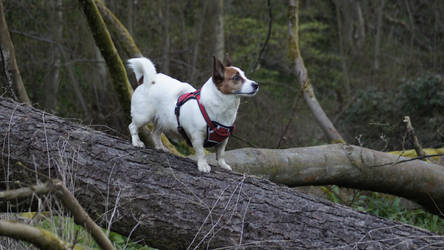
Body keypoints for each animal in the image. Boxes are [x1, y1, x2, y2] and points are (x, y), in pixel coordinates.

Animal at [126, 55, 258, 173]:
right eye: (236, 77)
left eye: (245, 75)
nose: (256, 85)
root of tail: (146, 82)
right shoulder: (197, 136)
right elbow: (201, 152)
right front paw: (203, 165)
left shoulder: (223, 140)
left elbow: (221, 154)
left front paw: (223, 165)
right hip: (143, 116)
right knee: (132, 126)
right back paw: (136, 142)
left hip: (162, 121)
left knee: (155, 133)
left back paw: (160, 147)